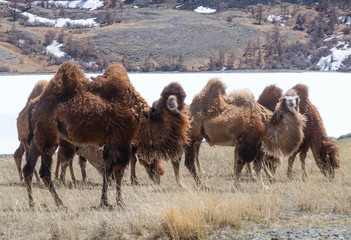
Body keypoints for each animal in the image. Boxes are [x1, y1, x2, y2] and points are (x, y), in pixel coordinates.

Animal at [22, 62, 190, 208]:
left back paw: (34, 204)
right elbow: (118, 171)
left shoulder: (110, 144)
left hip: (36, 140)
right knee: (44, 171)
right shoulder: (122, 143)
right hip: (48, 139)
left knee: (29, 169)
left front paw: (105, 202)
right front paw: (120, 202)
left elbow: (108, 171)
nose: (183, 111)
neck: (141, 117)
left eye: (183, 99)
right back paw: (60, 204)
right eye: (176, 101)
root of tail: (33, 106)